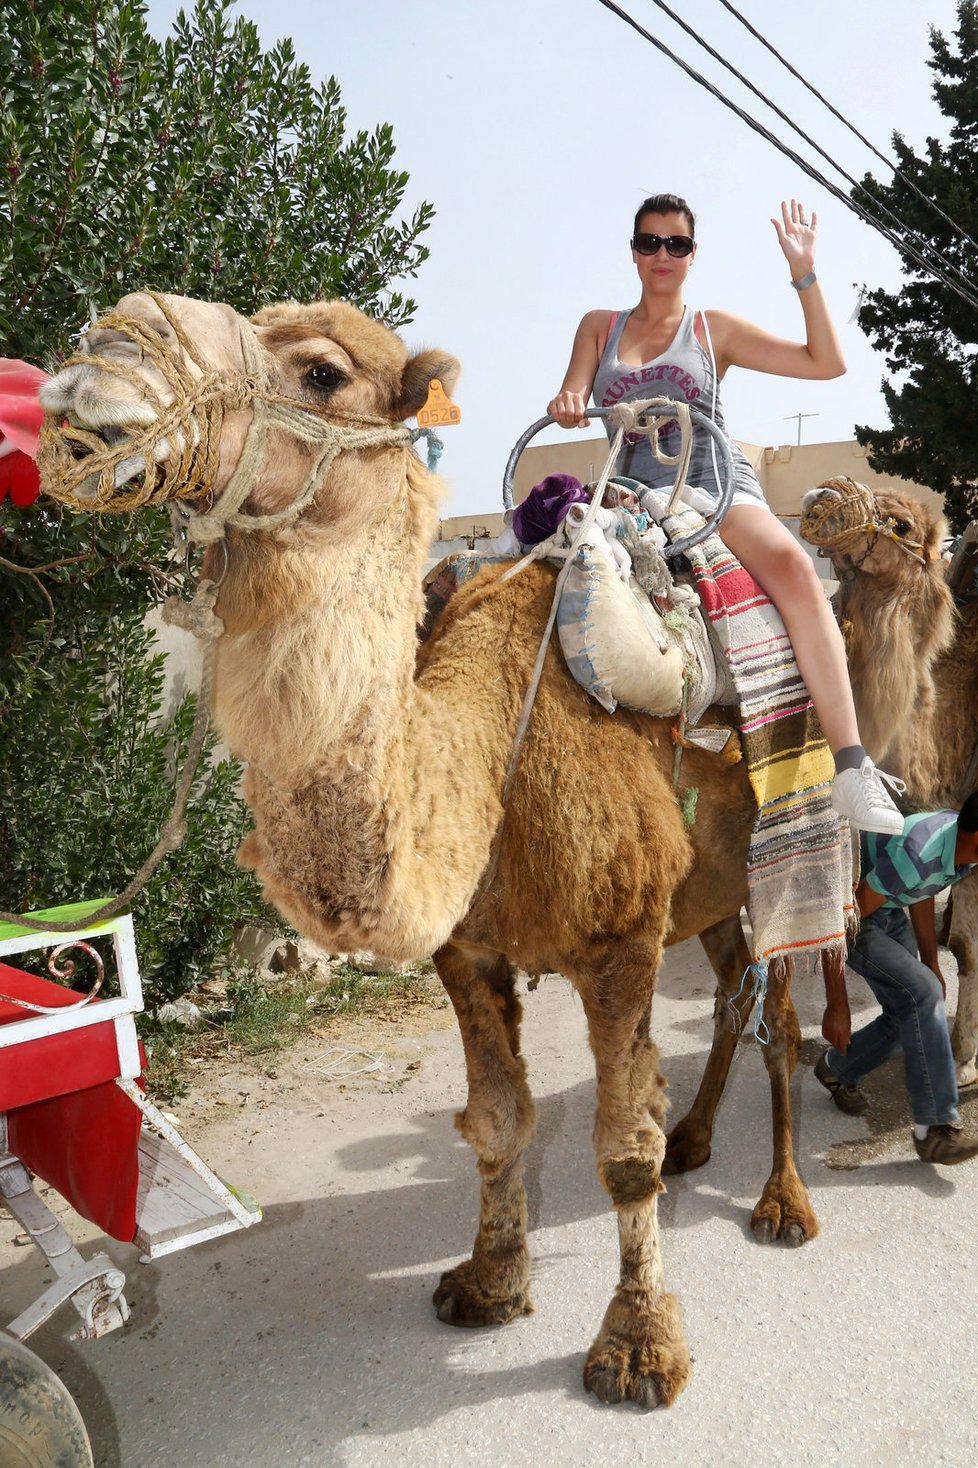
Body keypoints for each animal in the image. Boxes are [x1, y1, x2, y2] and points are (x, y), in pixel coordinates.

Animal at [38, 289, 828, 1409]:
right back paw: (699, 1141)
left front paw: (637, 1347)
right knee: (728, 994)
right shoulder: (470, 950)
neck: (486, 748)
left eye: (321, 372)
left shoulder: (622, 941)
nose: (102, 353)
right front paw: (490, 1282)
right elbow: (497, 1120)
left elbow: (619, 1147)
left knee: (789, 1013)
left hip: (798, 850)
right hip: (711, 890)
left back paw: (783, 1201)